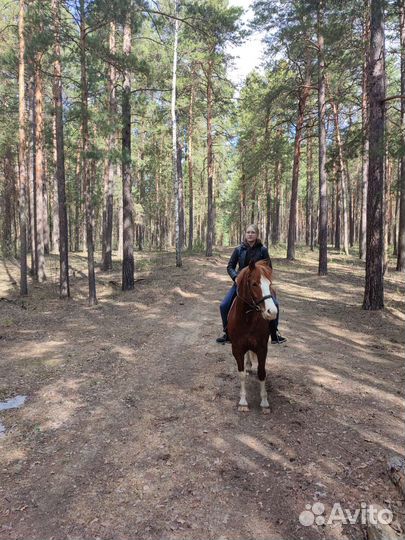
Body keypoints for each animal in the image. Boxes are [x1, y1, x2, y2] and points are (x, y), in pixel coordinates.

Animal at [227, 260, 278, 412]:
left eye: (270, 283)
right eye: (254, 284)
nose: (272, 312)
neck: (247, 319)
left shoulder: (262, 348)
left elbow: (262, 373)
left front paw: (265, 402)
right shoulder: (237, 349)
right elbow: (241, 374)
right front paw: (243, 402)